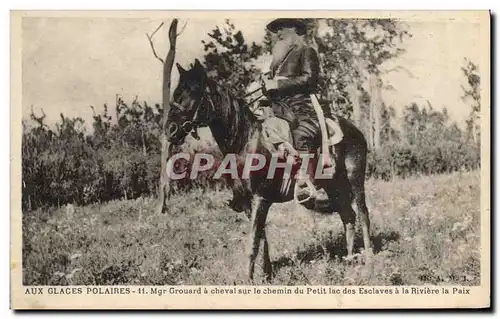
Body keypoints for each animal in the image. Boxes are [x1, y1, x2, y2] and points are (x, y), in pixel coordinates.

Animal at [168, 58, 372, 282]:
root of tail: (355, 130)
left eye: (193, 92)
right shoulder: (249, 203)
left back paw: (369, 261)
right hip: (334, 186)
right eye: (176, 92)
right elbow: (261, 238)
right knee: (348, 217)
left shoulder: (260, 199)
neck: (245, 142)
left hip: (354, 179)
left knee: (363, 215)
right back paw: (350, 261)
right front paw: (266, 275)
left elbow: (253, 242)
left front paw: (248, 280)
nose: (170, 130)